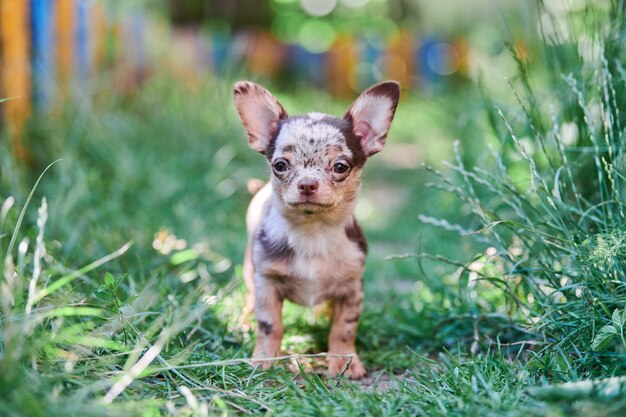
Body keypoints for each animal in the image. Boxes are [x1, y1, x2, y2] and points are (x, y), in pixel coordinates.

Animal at [232, 79, 398, 378]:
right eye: (280, 165)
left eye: (340, 166)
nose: (307, 183)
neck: (313, 232)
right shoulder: (267, 284)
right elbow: (270, 326)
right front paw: (264, 359)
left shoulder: (351, 289)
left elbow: (343, 330)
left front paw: (345, 362)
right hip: (251, 271)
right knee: (250, 299)